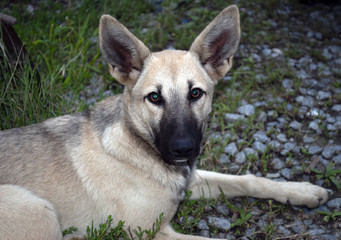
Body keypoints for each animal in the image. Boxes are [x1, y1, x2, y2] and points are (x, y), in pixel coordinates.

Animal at [0, 5, 326, 240]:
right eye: (154, 98)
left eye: (195, 93)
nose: (183, 150)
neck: (137, 144)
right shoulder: (153, 233)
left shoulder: (189, 182)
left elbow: (247, 179)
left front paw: (302, 191)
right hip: (38, 211)